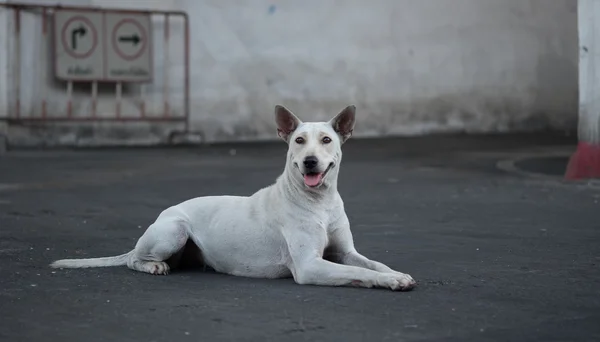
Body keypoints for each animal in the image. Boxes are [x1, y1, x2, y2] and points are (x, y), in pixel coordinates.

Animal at [50, 105, 418, 292]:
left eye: (327, 140)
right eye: (299, 141)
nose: (311, 162)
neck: (319, 202)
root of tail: (164, 215)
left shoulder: (345, 252)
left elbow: (371, 264)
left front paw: (396, 273)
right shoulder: (310, 266)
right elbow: (360, 273)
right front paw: (390, 281)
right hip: (174, 230)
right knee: (133, 260)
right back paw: (153, 264)